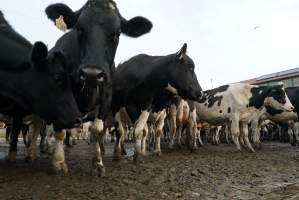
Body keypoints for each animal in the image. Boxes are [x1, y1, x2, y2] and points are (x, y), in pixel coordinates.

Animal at [42, 0, 152, 175]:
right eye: (79, 28)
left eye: (117, 34)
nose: (91, 74)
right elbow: (59, 132)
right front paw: (58, 162)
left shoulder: (106, 97)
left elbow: (97, 130)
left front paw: (98, 163)